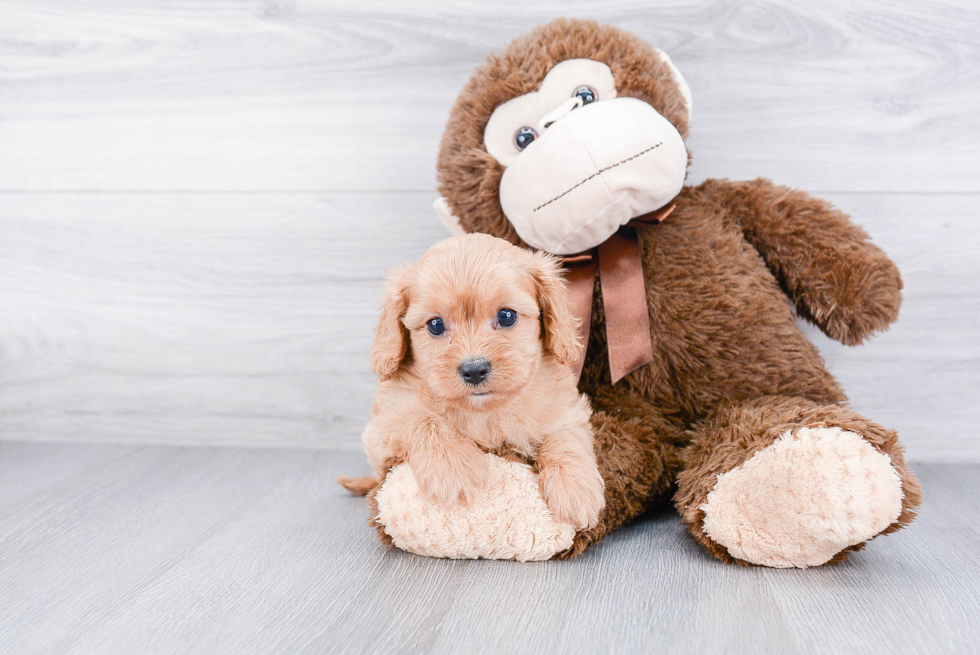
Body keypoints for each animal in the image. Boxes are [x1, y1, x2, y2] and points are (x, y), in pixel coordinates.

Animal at [344, 233, 604, 532]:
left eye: (506, 316)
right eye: (435, 325)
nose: (474, 369)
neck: (483, 412)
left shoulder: (566, 410)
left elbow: (565, 438)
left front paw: (575, 489)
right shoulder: (381, 427)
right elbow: (421, 419)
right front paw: (453, 468)